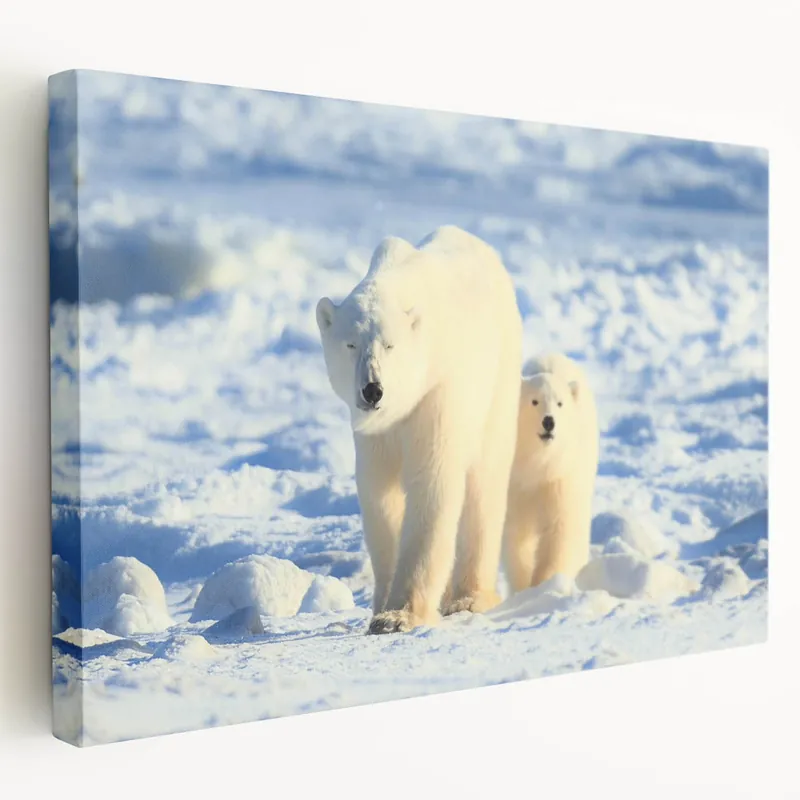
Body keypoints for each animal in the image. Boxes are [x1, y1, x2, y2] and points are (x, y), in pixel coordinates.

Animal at [316, 225, 523, 634]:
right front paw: (380, 607)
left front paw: (399, 615)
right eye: (351, 344)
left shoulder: (436, 395)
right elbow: (379, 495)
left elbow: (432, 484)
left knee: (484, 484)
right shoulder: (374, 434)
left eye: (390, 345)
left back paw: (470, 597)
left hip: (498, 381)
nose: (372, 389)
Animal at [503, 353, 599, 593]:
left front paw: (544, 583)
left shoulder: (561, 480)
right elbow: (518, 535)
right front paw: (523, 586)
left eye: (560, 403)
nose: (549, 421)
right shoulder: (516, 486)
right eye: (534, 401)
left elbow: (560, 534)